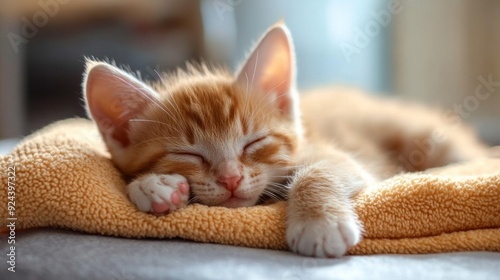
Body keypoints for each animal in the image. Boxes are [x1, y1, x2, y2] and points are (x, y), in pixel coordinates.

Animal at [82, 23, 488, 258]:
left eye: (253, 142)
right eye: (188, 154)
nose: (231, 179)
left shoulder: (339, 156)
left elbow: (318, 171)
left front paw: (319, 223)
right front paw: (153, 186)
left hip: (426, 135)